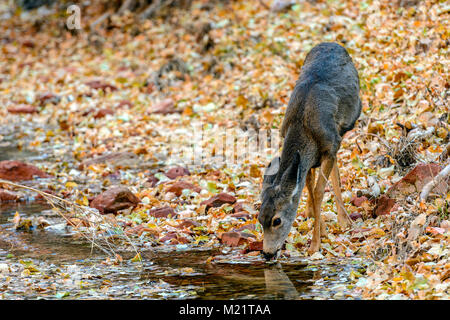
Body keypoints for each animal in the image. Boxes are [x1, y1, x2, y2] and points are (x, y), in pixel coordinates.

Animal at [258, 42, 360, 260]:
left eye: (277, 220)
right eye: (260, 219)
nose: (267, 253)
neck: (302, 125)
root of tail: (333, 44)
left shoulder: (329, 146)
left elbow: (319, 191)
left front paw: (315, 245)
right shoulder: (306, 159)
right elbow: (309, 188)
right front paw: (322, 230)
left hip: (342, 130)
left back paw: (344, 220)